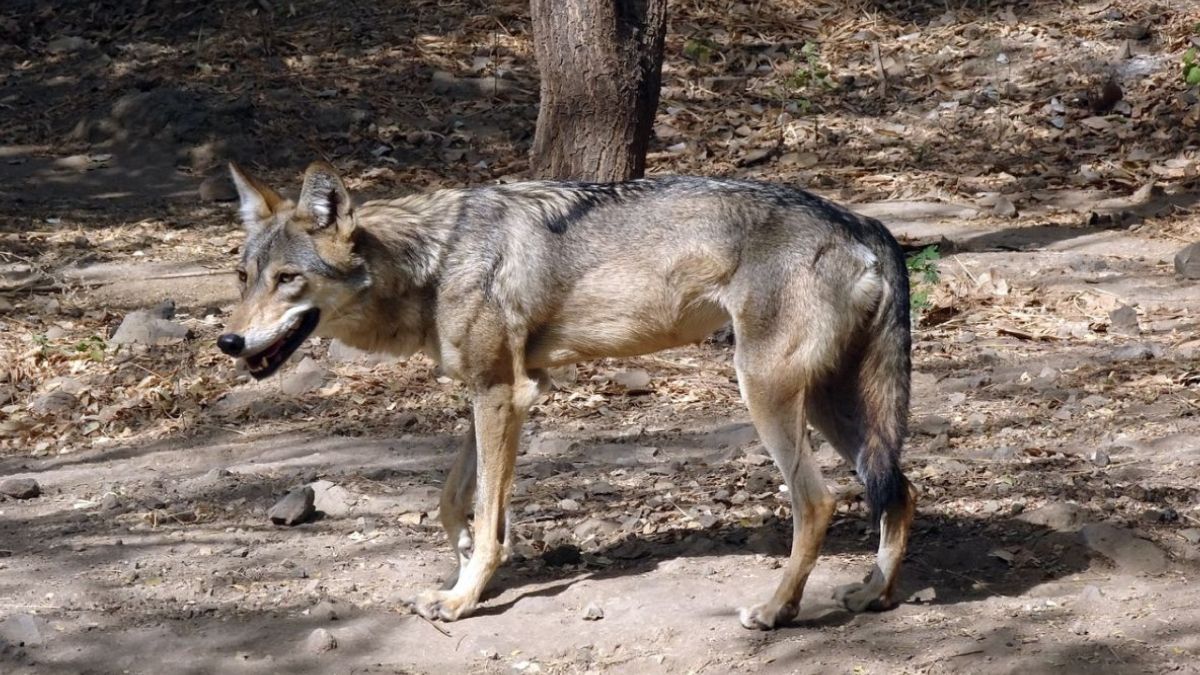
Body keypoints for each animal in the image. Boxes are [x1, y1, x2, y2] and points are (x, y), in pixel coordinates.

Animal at [217, 161, 917, 629]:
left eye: (289, 279)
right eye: (244, 276)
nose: (228, 340)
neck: (434, 259)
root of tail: (864, 222)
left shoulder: (503, 392)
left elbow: (486, 513)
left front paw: (463, 597)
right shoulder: (501, 391)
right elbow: (454, 501)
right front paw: (466, 560)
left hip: (767, 395)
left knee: (818, 502)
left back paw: (776, 611)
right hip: (828, 405)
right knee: (898, 488)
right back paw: (873, 594)